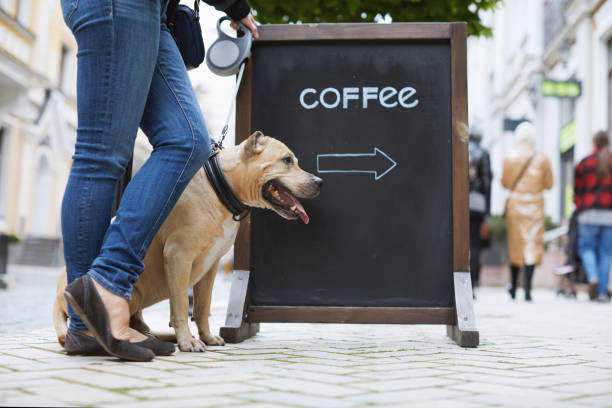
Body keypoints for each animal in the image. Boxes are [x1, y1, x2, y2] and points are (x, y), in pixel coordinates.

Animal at [53, 132, 322, 352]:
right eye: (287, 160)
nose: (319, 182)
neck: (221, 187)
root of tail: (58, 297)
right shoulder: (179, 257)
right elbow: (182, 305)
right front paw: (187, 341)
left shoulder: (211, 266)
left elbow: (202, 307)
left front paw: (206, 337)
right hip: (133, 294)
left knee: (142, 326)